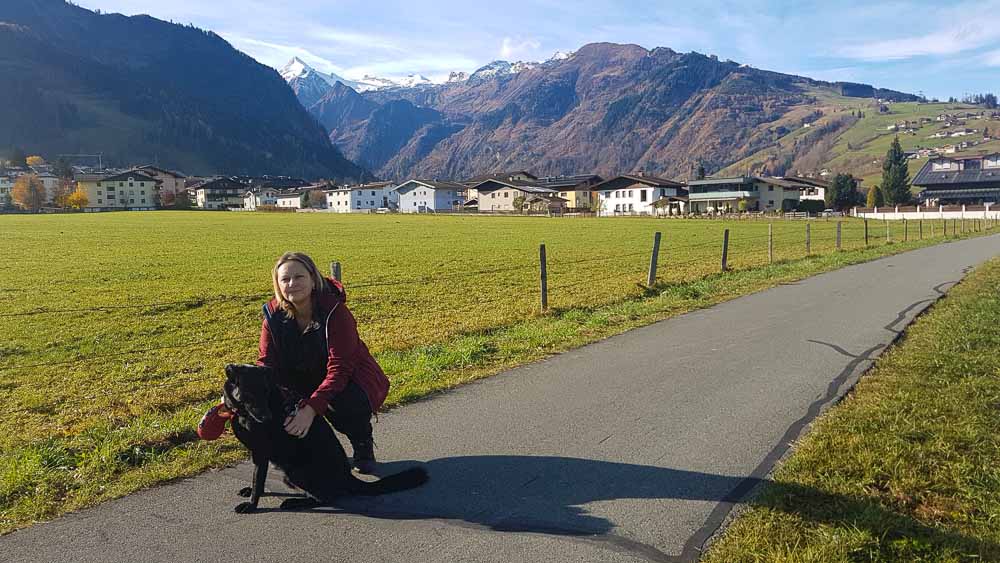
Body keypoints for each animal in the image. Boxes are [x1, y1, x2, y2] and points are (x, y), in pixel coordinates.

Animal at [223, 364, 426, 512]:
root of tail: (347, 476)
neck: (242, 414)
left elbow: (258, 479)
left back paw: (295, 503)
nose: (267, 418)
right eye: (249, 393)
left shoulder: (262, 452)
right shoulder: (257, 454)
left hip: (296, 471)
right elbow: (258, 477)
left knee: (326, 497)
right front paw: (251, 492)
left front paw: (252, 505)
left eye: (266, 392)